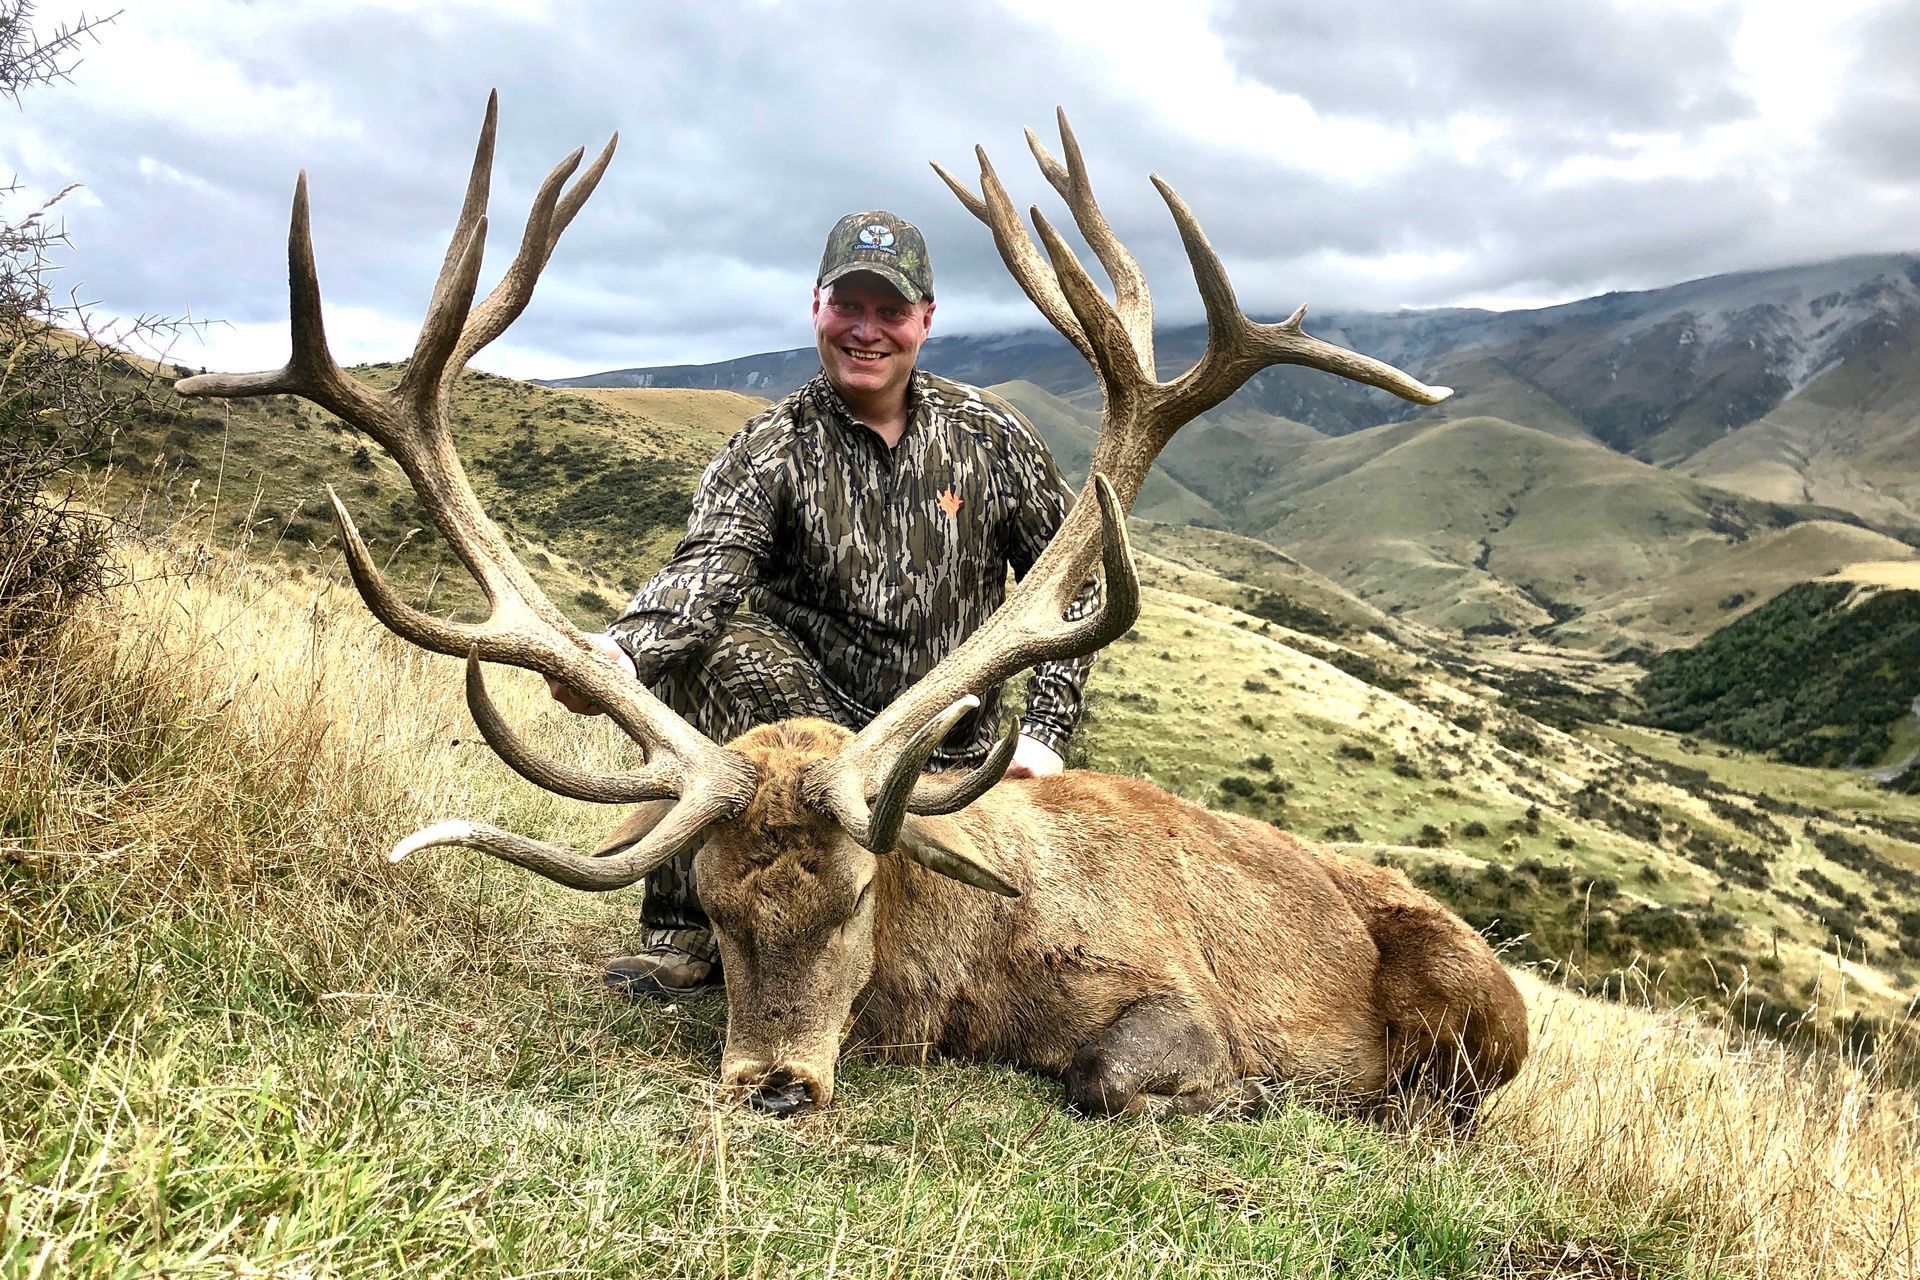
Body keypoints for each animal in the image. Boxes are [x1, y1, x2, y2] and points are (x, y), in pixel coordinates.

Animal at [177, 95, 1529, 1122]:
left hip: (1482, 1003)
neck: (970, 964)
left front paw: (1248, 1094)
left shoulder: (1179, 997)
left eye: (855, 898)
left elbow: (1109, 1071)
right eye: (716, 912)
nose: (773, 1084)